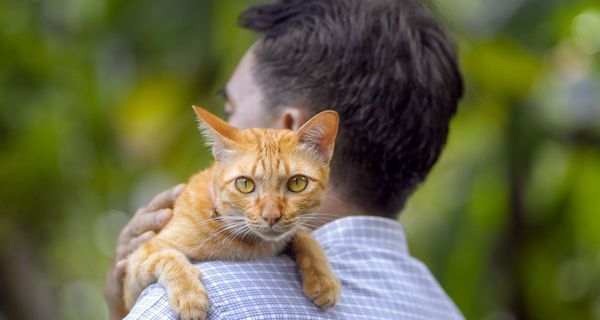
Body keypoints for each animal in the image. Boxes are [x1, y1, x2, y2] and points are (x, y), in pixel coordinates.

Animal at [122, 107, 342, 320]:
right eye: (244, 184)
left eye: (297, 183)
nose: (271, 216)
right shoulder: (137, 266)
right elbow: (168, 257)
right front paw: (189, 295)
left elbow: (304, 237)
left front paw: (323, 277)